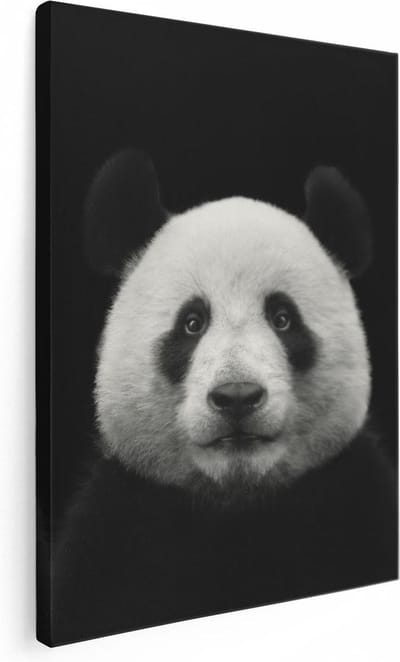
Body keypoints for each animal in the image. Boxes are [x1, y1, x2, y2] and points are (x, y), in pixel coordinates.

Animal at [52, 149, 397, 645]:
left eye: (283, 318)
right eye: (192, 323)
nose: (237, 396)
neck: (236, 503)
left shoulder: (357, 503)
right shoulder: (117, 531)